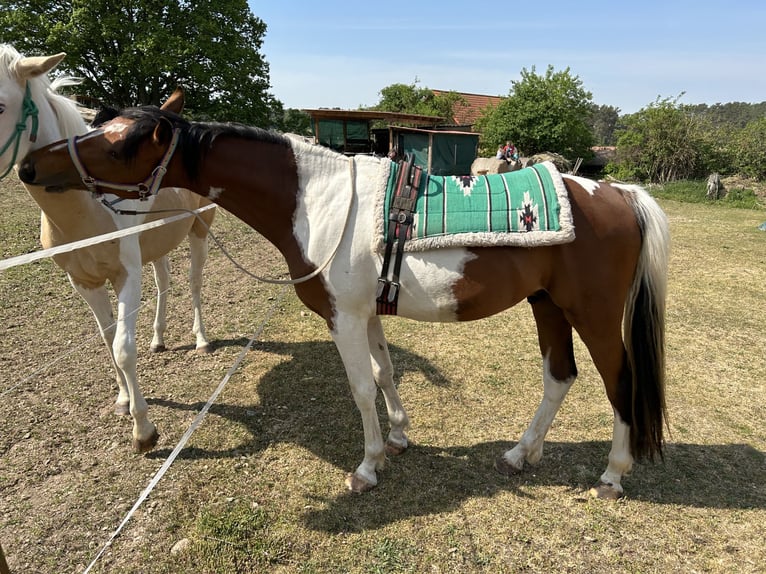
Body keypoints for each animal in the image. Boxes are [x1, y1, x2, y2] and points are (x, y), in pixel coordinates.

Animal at [0, 45, 216, 452]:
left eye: (0, 105)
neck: (89, 208)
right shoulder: (84, 282)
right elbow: (107, 338)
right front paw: (122, 399)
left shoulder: (125, 275)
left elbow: (123, 347)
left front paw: (143, 430)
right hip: (157, 245)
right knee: (165, 284)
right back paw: (158, 339)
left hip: (199, 229)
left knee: (195, 283)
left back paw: (201, 340)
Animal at [18, 105, 671, 499]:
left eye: (120, 147)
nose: (29, 165)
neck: (319, 200)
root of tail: (619, 192)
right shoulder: (366, 314)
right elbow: (384, 374)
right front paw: (400, 439)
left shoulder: (343, 318)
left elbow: (360, 388)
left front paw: (368, 466)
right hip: (547, 305)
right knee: (559, 376)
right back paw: (520, 454)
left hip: (590, 313)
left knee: (618, 382)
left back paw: (613, 475)